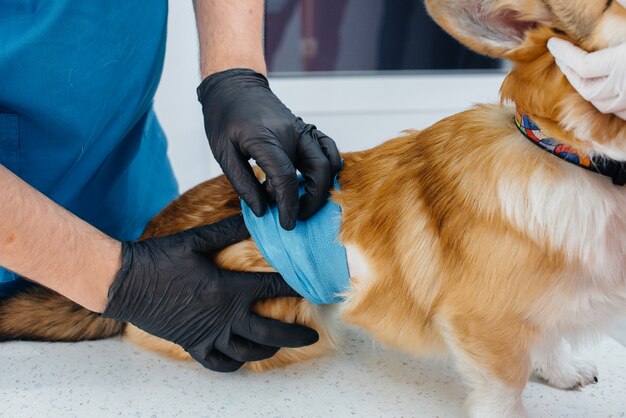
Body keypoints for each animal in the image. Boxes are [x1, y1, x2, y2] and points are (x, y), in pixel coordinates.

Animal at [1, 0, 624, 416]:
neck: (573, 159)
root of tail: (143, 243)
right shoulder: (481, 331)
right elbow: (504, 393)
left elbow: (546, 337)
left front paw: (558, 368)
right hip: (292, 324)